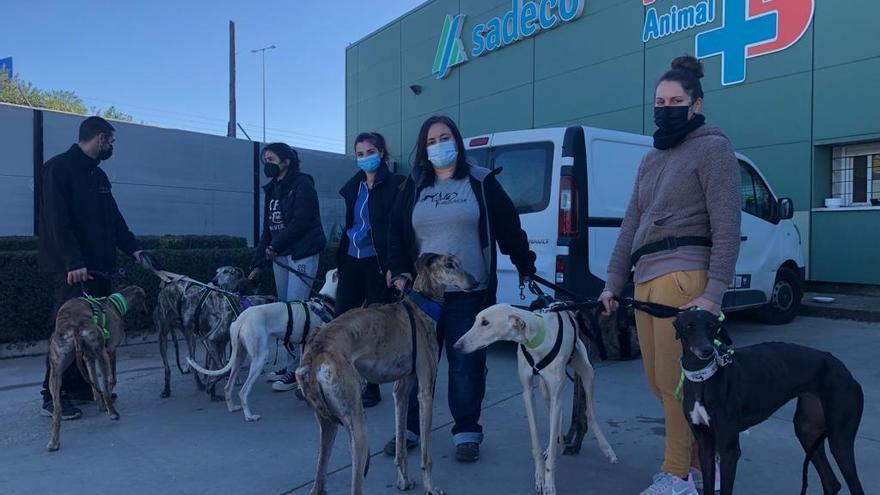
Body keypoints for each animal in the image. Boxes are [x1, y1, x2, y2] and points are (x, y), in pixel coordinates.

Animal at [672, 312, 868, 494]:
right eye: (688, 326)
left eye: (712, 326)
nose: (707, 350)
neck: (703, 378)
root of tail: (847, 373)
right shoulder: (704, 443)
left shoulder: (729, 449)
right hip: (808, 430)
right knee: (831, 482)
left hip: (840, 439)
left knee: (854, 485)